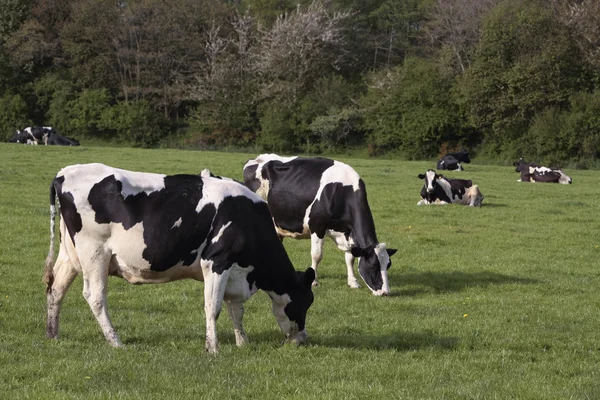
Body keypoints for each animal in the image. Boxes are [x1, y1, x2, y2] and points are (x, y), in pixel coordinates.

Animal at [44, 162, 316, 354]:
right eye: (306, 302)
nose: (302, 339)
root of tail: (64, 173)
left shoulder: (235, 272)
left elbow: (235, 310)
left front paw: (242, 342)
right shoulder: (216, 261)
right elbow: (213, 307)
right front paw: (213, 348)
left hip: (70, 255)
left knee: (56, 289)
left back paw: (53, 334)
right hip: (95, 253)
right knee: (95, 297)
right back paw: (116, 342)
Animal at [241, 153, 396, 296]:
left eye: (388, 265)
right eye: (373, 266)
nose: (386, 292)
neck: (341, 191)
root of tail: (257, 158)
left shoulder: (348, 232)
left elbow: (350, 257)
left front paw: (353, 282)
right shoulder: (317, 226)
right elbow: (317, 255)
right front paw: (314, 281)